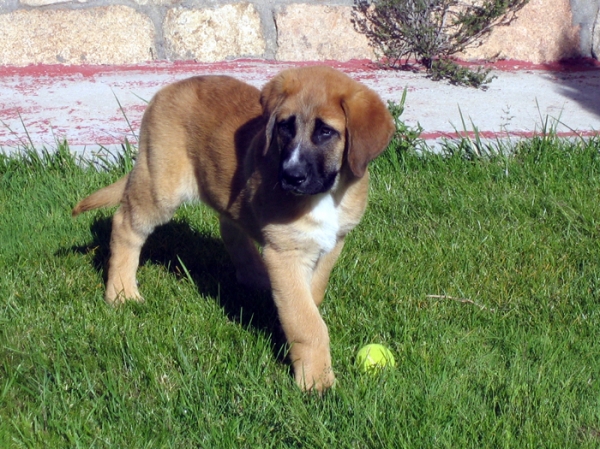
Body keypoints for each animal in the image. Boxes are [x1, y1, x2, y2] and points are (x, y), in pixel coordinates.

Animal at [74, 65, 394, 390]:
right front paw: (317, 381)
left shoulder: (333, 243)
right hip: (160, 185)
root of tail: (167, 89)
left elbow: (312, 295)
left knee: (231, 229)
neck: (328, 193)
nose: (291, 177)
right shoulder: (286, 252)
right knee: (125, 224)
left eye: (325, 131)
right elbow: (307, 322)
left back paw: (257, 277)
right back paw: (121, 292)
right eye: (285, 127)